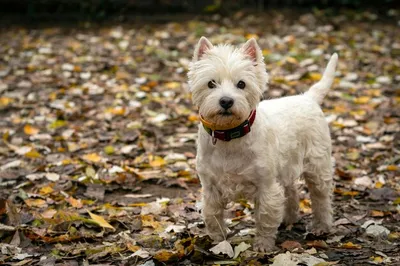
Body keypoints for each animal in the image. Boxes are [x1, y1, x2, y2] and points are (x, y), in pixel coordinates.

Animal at [188, 37, 338, 251]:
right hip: (286, 166)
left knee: (321, 197)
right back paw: (288, 218)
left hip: (317, 164)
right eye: (211, 83)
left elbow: (265, 217)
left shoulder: (266, 185)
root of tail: (307, 98)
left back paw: (321, 226)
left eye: (241, 84)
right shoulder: (210, 187)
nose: (226, 101)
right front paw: (218, 242)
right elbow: (212, 215)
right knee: (291, 190)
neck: (230, 136)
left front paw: (263, 245)